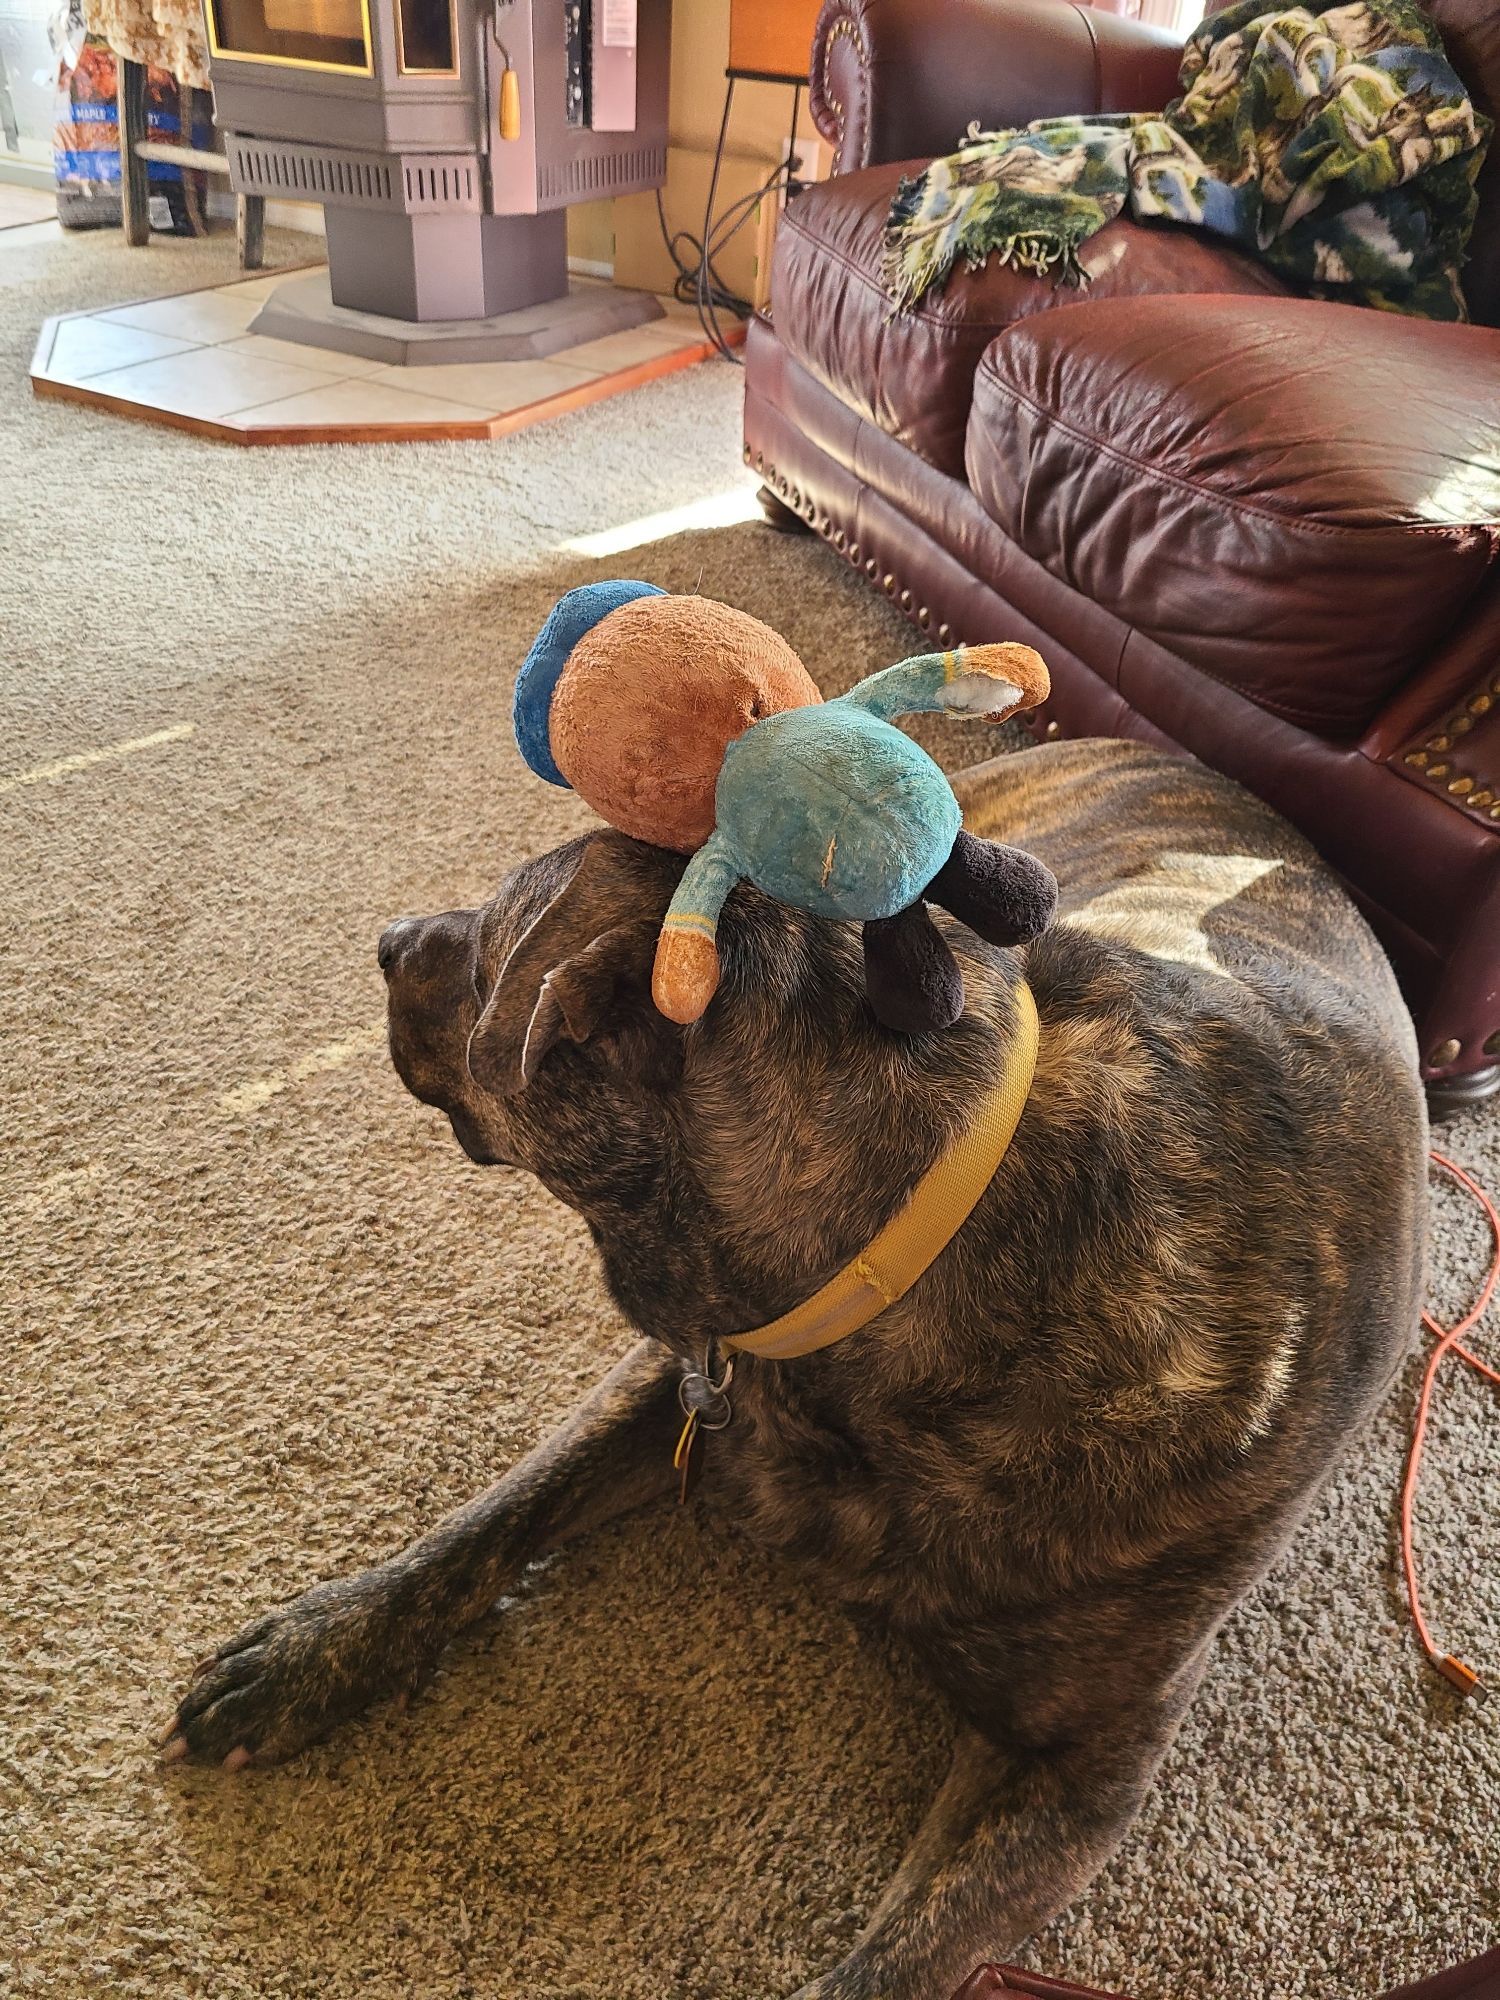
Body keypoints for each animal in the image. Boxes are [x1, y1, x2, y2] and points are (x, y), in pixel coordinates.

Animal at [164, 736, 1432, 2000]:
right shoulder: (693, 1371)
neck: (935, 1223)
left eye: (483, 955)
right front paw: (313, 1649)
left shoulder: (1082, 1768)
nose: (386, 940)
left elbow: (893, 1964)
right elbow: (488, 1521)